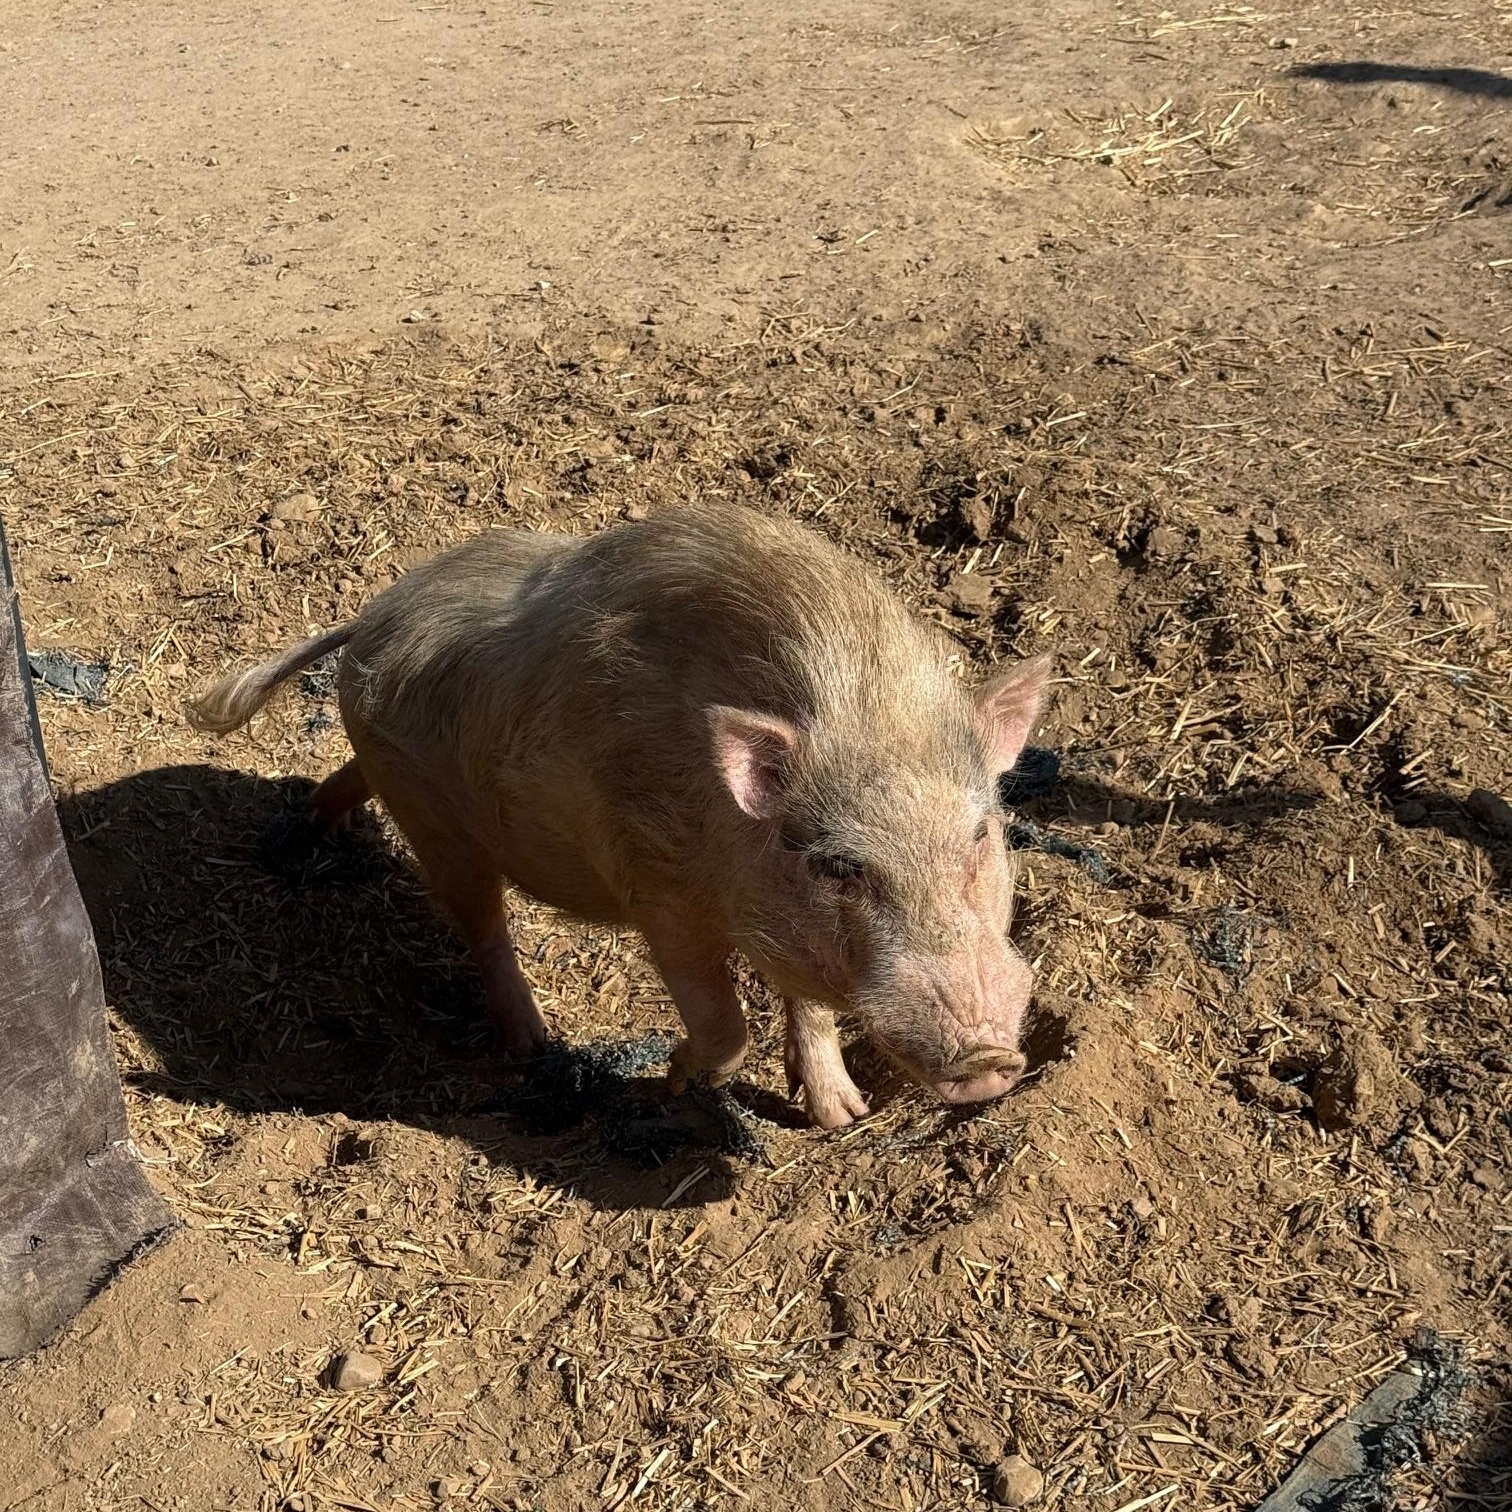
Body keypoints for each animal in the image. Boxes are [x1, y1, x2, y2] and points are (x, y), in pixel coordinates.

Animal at [188, 504, 1051, 1129]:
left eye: (980, 835)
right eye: (840, 864)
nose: (988, 1062)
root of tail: (369, 619)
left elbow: (807, 1006)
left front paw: (840, 1115)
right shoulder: (658, 890)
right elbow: (724, 1025)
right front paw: (670, 1085)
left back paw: (308, 827)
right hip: (437, 827)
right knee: (483, 929)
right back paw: (531, 1044)